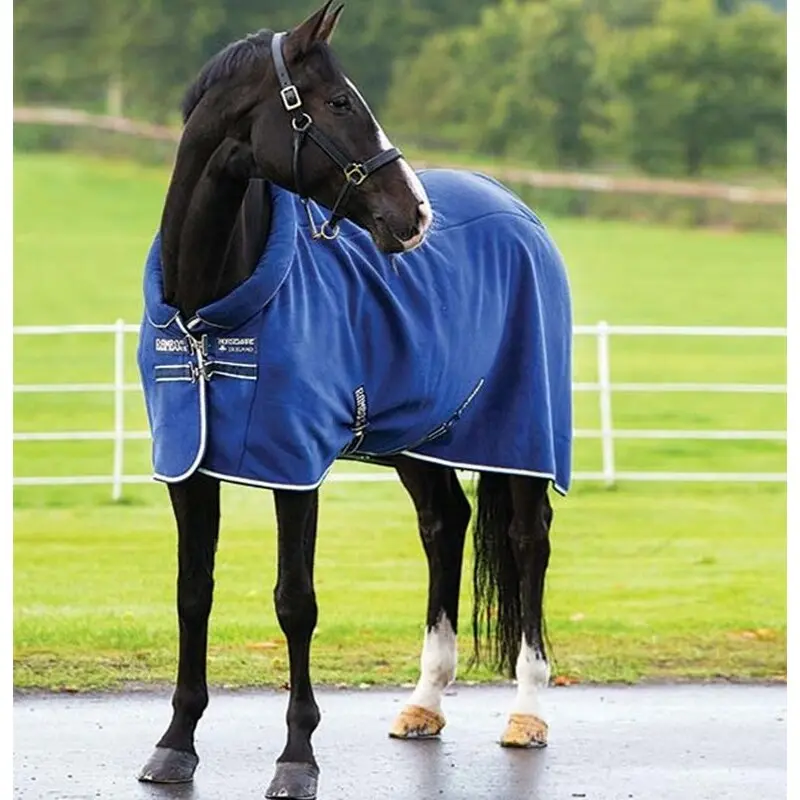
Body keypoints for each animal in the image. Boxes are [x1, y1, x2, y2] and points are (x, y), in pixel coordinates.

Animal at [135, 3, 572, 799]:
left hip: (525, 436)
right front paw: (175, 746)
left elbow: (295, 602)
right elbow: (193, 592)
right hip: (421, 438)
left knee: (529, 542)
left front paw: (296, 759)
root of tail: (519, 211)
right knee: (444, 525)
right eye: (339, 103)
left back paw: (527, 712)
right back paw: (425, 702)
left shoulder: (294, 468)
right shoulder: (189, 467)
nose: (415, 215)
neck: (210, 311)